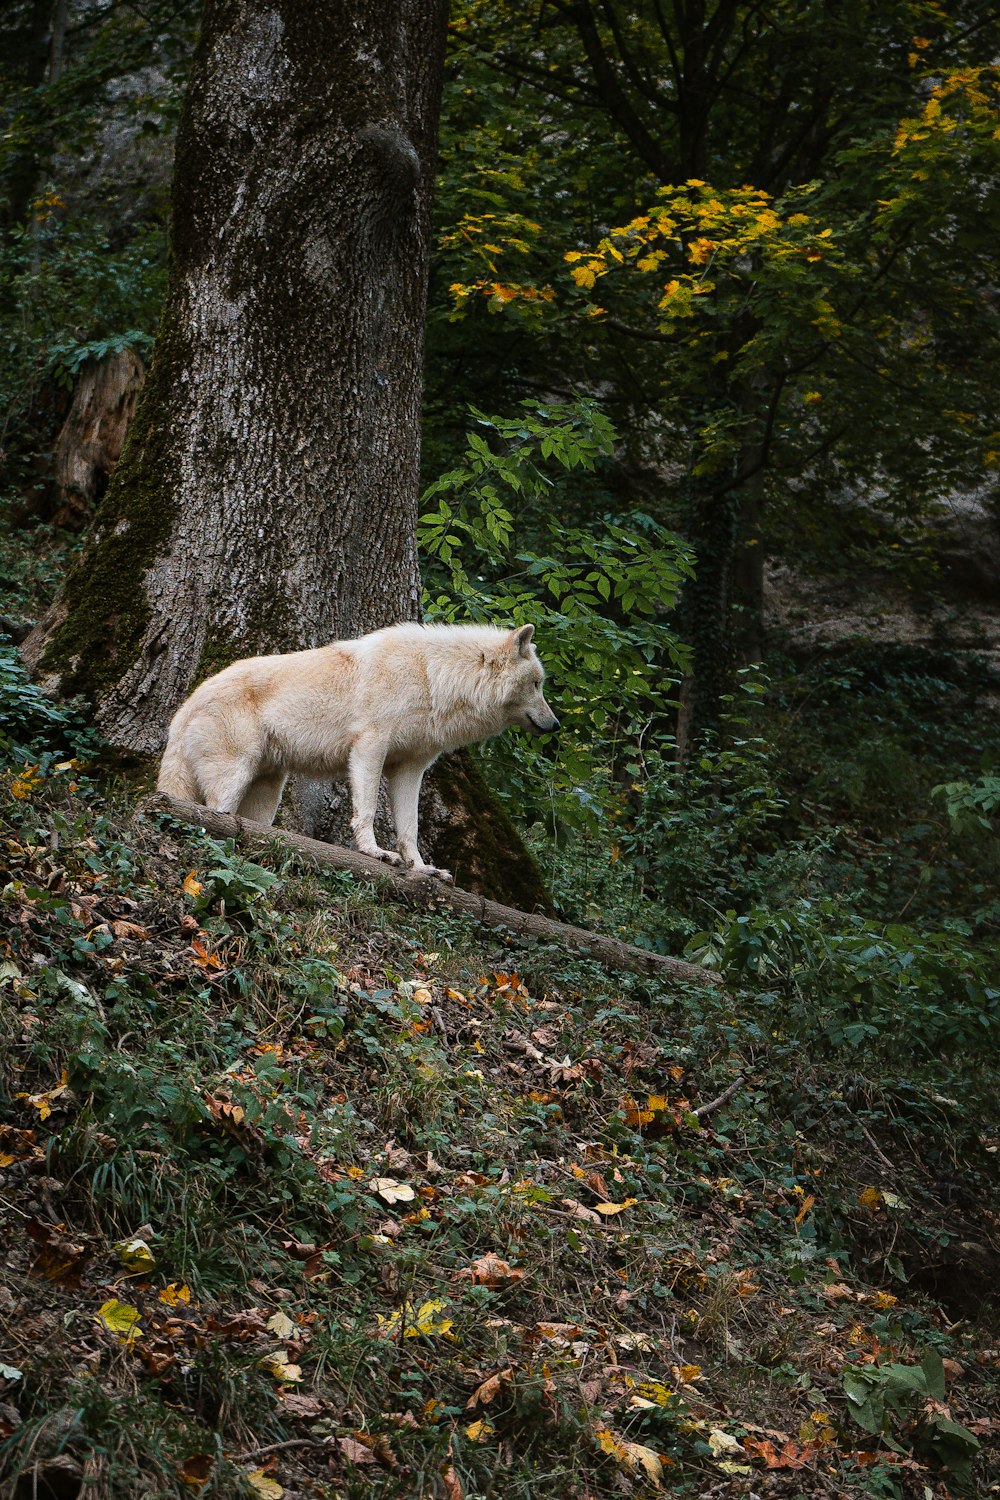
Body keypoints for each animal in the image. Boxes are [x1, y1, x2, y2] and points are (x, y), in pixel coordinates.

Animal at [160, 621, 560, 876]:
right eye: (537, 684)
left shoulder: (410, 767)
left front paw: (422, 869)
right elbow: (365, 810)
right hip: (234, 775)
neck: (431, 677)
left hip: (266, 791)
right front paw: (374, 852)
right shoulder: (370, 746)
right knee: (212, 814)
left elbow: (410, 827)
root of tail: (183, 709)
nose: (556, 725)